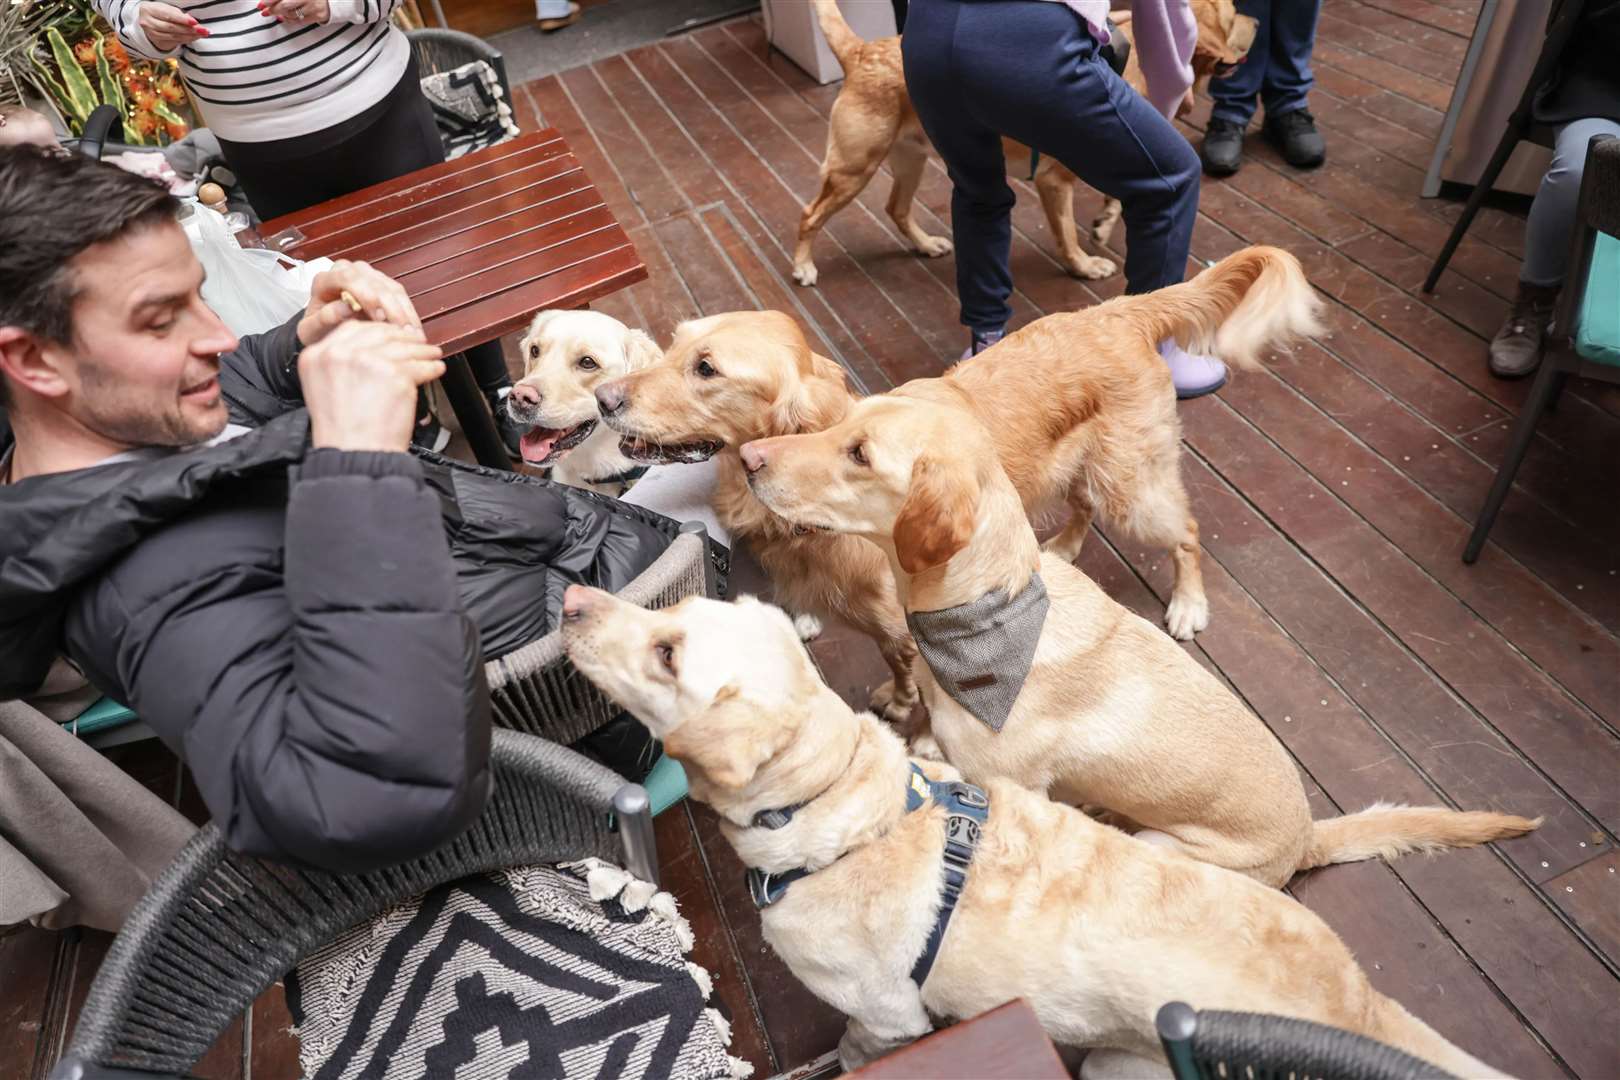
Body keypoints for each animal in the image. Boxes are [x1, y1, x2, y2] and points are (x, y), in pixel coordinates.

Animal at [563, 586, 1509, 1075]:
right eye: (675, 611)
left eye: (670, 656)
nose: (572, 597)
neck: (843, 807)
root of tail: (1357, 1004)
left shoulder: (886, 1014)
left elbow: (856, 1044)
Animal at [741, 388, 1535, 887]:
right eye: (841, 423)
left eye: (860, 454)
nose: (748, 459)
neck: (983, 611)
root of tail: (1307, 837)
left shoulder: (1008, 788)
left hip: (1167, 843)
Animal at [790, 0, 1257, 286]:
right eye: (1235, 13)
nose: (1257, 22)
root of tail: (860, 52)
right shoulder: (1055, 181)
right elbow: (1066, 234)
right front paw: (1084, 266)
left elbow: (1116, 199)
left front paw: (1104, 224)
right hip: (854, 168)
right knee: (810, 214)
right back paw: (803, 266)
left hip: (911, 160)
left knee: (896, 209)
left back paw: (926, 244)